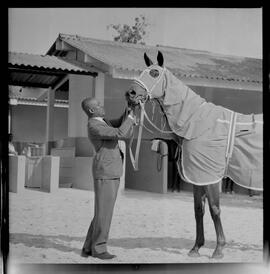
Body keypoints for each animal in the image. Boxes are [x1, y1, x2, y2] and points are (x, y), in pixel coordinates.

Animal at [125, 50, 262, 258]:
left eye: (155, 73)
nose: (130, 93)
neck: (196, 121)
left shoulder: (210, 176)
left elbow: (215, 209)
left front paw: (219, 249)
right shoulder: (198, 177)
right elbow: (199, 210)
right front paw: (196, 247)